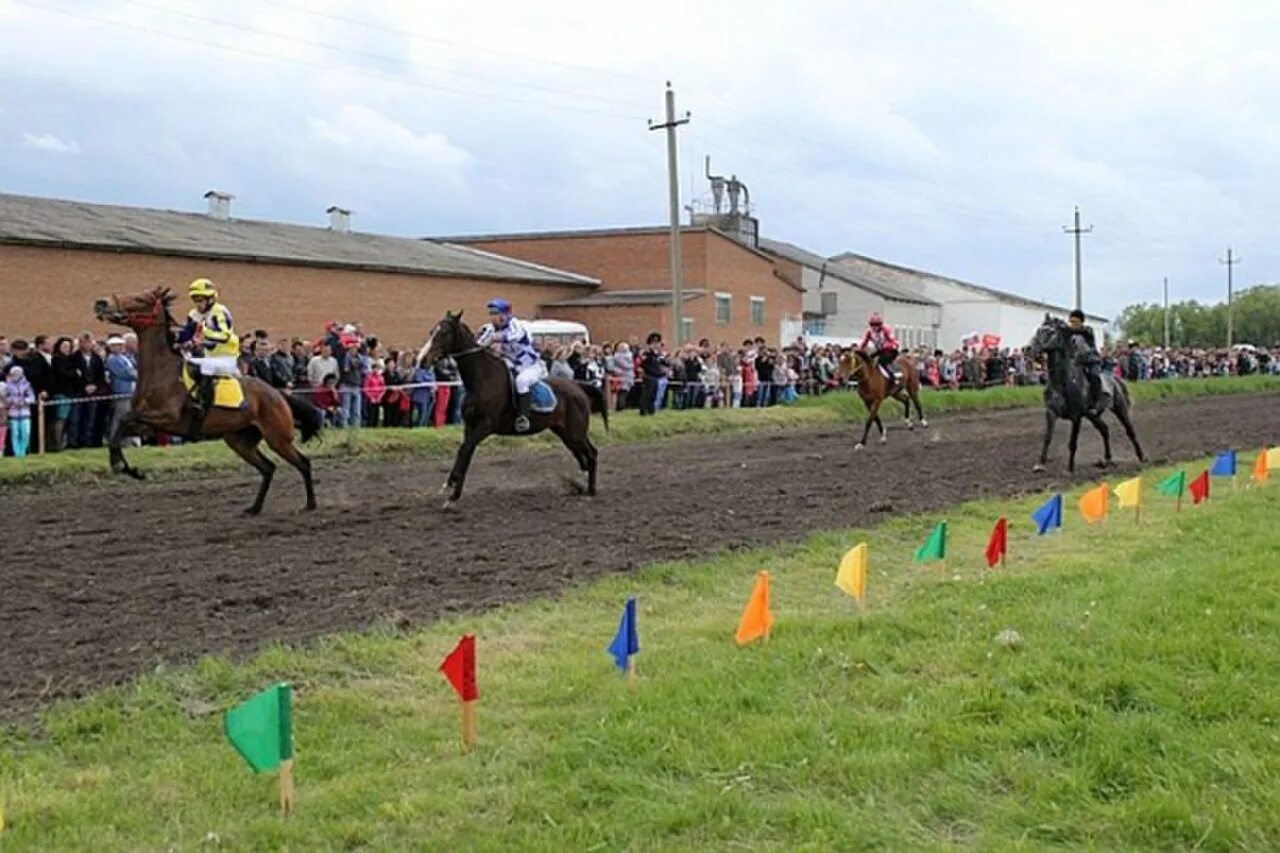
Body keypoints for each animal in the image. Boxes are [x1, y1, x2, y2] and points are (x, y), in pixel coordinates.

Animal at [93, 285, 322, 512]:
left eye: (141, 299)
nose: (101, 303)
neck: (161, 373)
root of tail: (277, 393)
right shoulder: (147, 424)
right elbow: (119, 430)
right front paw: (127, 467)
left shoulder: (167, 417)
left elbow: (125, 419)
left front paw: (122, 465)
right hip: (239, 440)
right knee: (268, 467)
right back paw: (254, 507)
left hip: (277, 437)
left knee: (302, 462)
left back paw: (310, 504)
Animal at [414, 312, 604, 507]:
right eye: (431, 332)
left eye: (443, 333)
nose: (421, 360)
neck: (482, 379)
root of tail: (578, 387)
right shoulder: (470, 426)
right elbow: (466, 453)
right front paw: (453, 495)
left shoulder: (486, 425)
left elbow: (464, 450)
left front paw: (450, 482)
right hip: (565, 433)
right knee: (583, 458)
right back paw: (582, 486)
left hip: (575, 432)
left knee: (592, 454)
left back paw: (591, 490)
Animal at [1024, 312, 1146, 471]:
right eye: (1038, 330)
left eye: (1050, 332)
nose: (1027, 349)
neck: (1062, 383)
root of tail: (1115, 379)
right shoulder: (1051, 412)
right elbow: (1047, 437)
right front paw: (1040, 464)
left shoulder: (1076, 417)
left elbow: (1072, 443)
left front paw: (1070, 469)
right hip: (1092, 415)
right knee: (1105, 430)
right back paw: (1107, 459)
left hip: (1120, 408)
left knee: (1130, 430)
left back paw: (1141, 456)